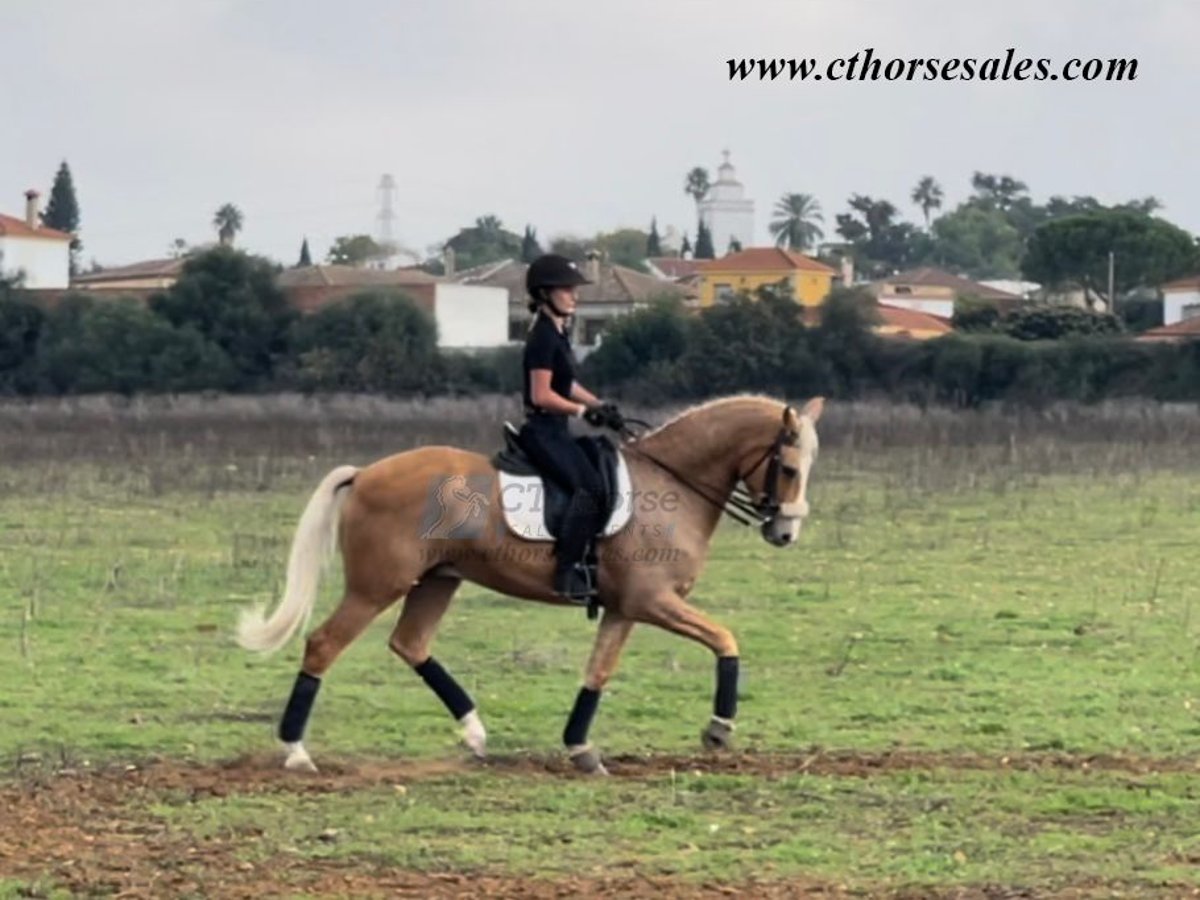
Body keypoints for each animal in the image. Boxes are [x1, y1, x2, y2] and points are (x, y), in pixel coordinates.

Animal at [240, 393, 830, 777]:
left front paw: (580, 748)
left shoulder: (624, 608)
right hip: (375, 588)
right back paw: (296, 752)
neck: (674, 484)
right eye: (788, 467)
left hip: (436, 581)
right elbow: (726, 640)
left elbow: (598, 672)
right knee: (323, 645)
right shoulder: (652, 602)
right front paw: (718, 729)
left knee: (411, 645)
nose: (786, 532)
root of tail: (364, 473)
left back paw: (476, 734)